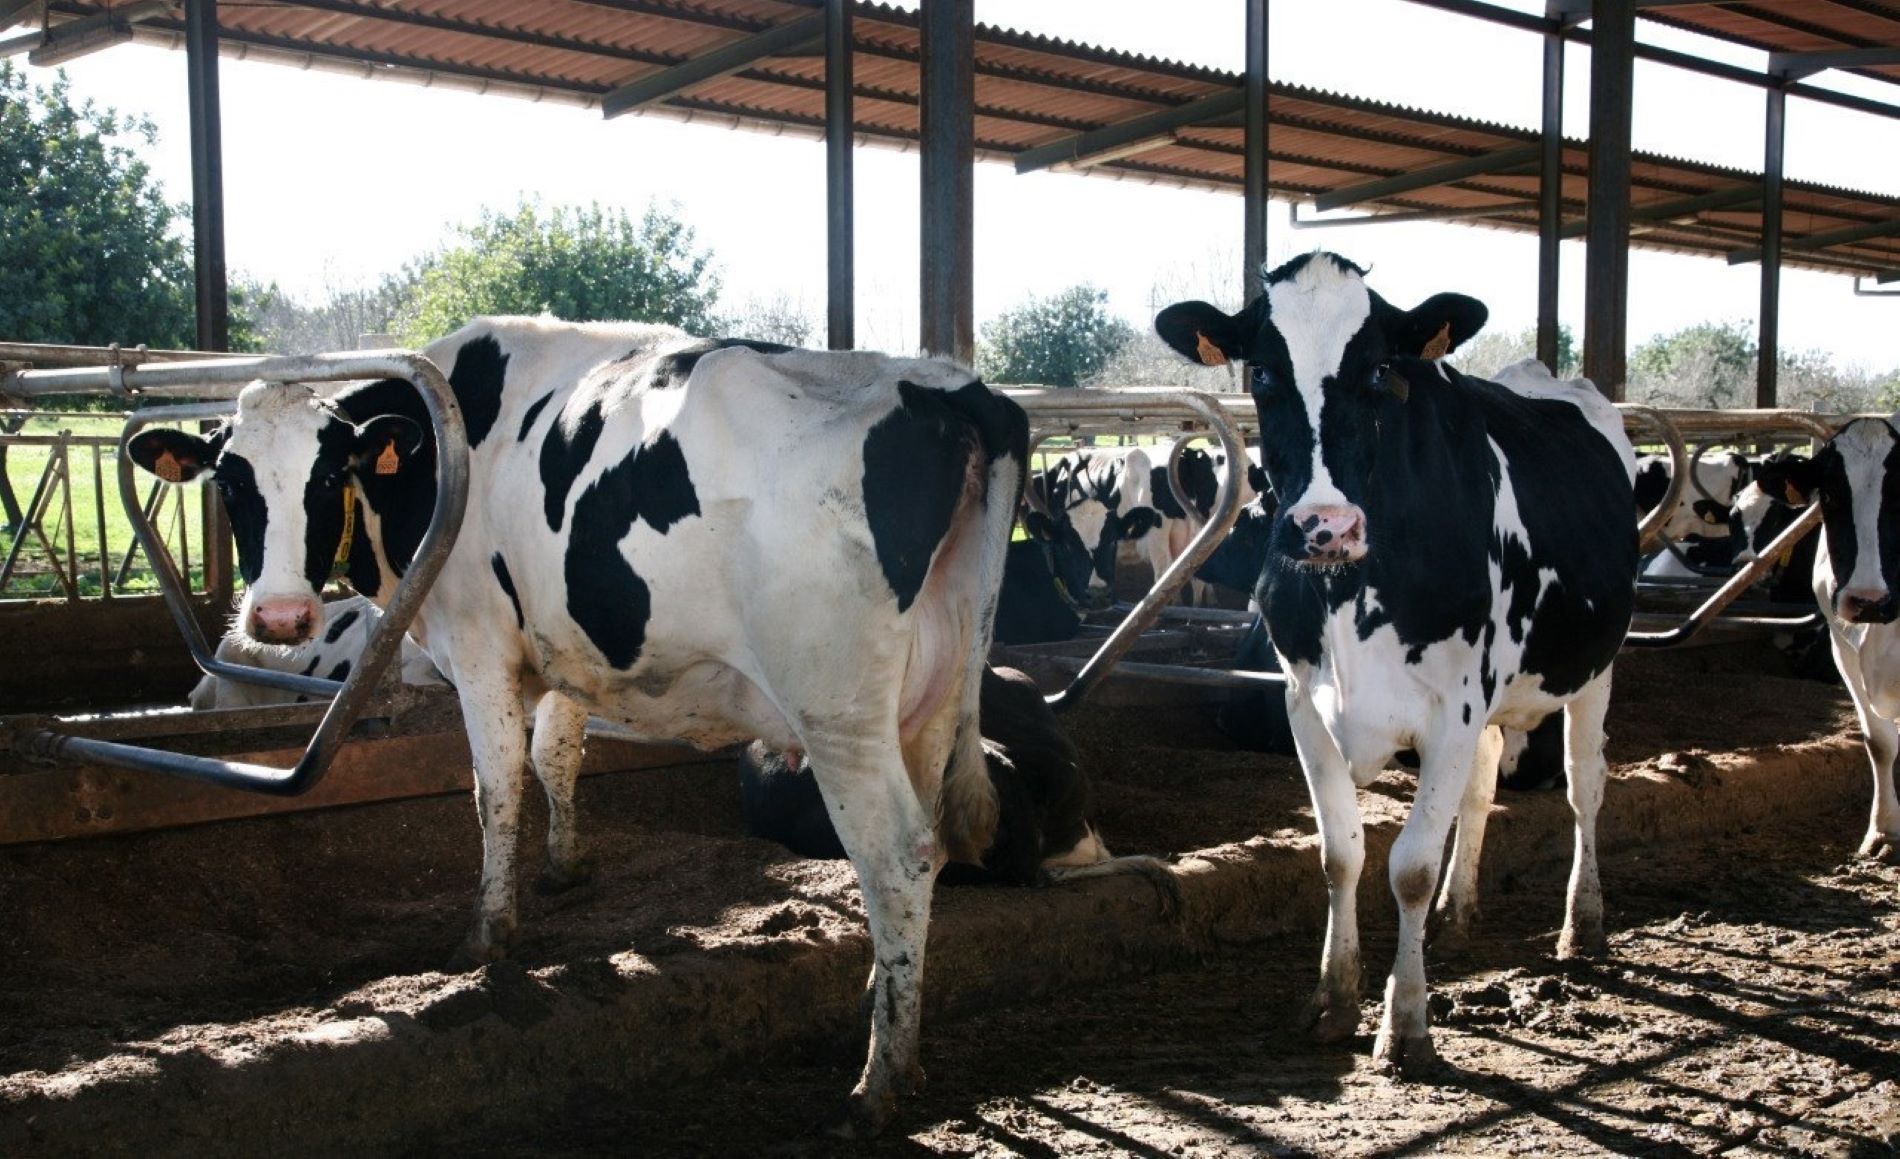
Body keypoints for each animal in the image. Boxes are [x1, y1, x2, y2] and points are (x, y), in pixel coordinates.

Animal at [130, 315, 1026, 1124]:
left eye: (325, 476)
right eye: (230, 481)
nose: (279, 617)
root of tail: (953, 386)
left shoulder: (480, 644)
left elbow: (496, 785)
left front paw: (488, 934)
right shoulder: (562, 647)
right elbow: (555, 754)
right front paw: (565, 866)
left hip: (836, 709)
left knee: (898, 856)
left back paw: (880, 1080)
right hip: (928, 698)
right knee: (925, 850)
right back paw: (884, 996)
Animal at [1147, 256, 1641, 1071]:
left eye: (1380, 369)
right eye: (1263, 371)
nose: (1325, 526)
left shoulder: (1452, 707)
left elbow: (1407, 866)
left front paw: (1406, 1021)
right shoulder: (1305, 704)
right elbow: (1340, 854)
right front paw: (1332, 998)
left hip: (1594, 670)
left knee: (1585, 787)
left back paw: (1584, 921)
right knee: (1482, 786)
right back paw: (1457, 912)